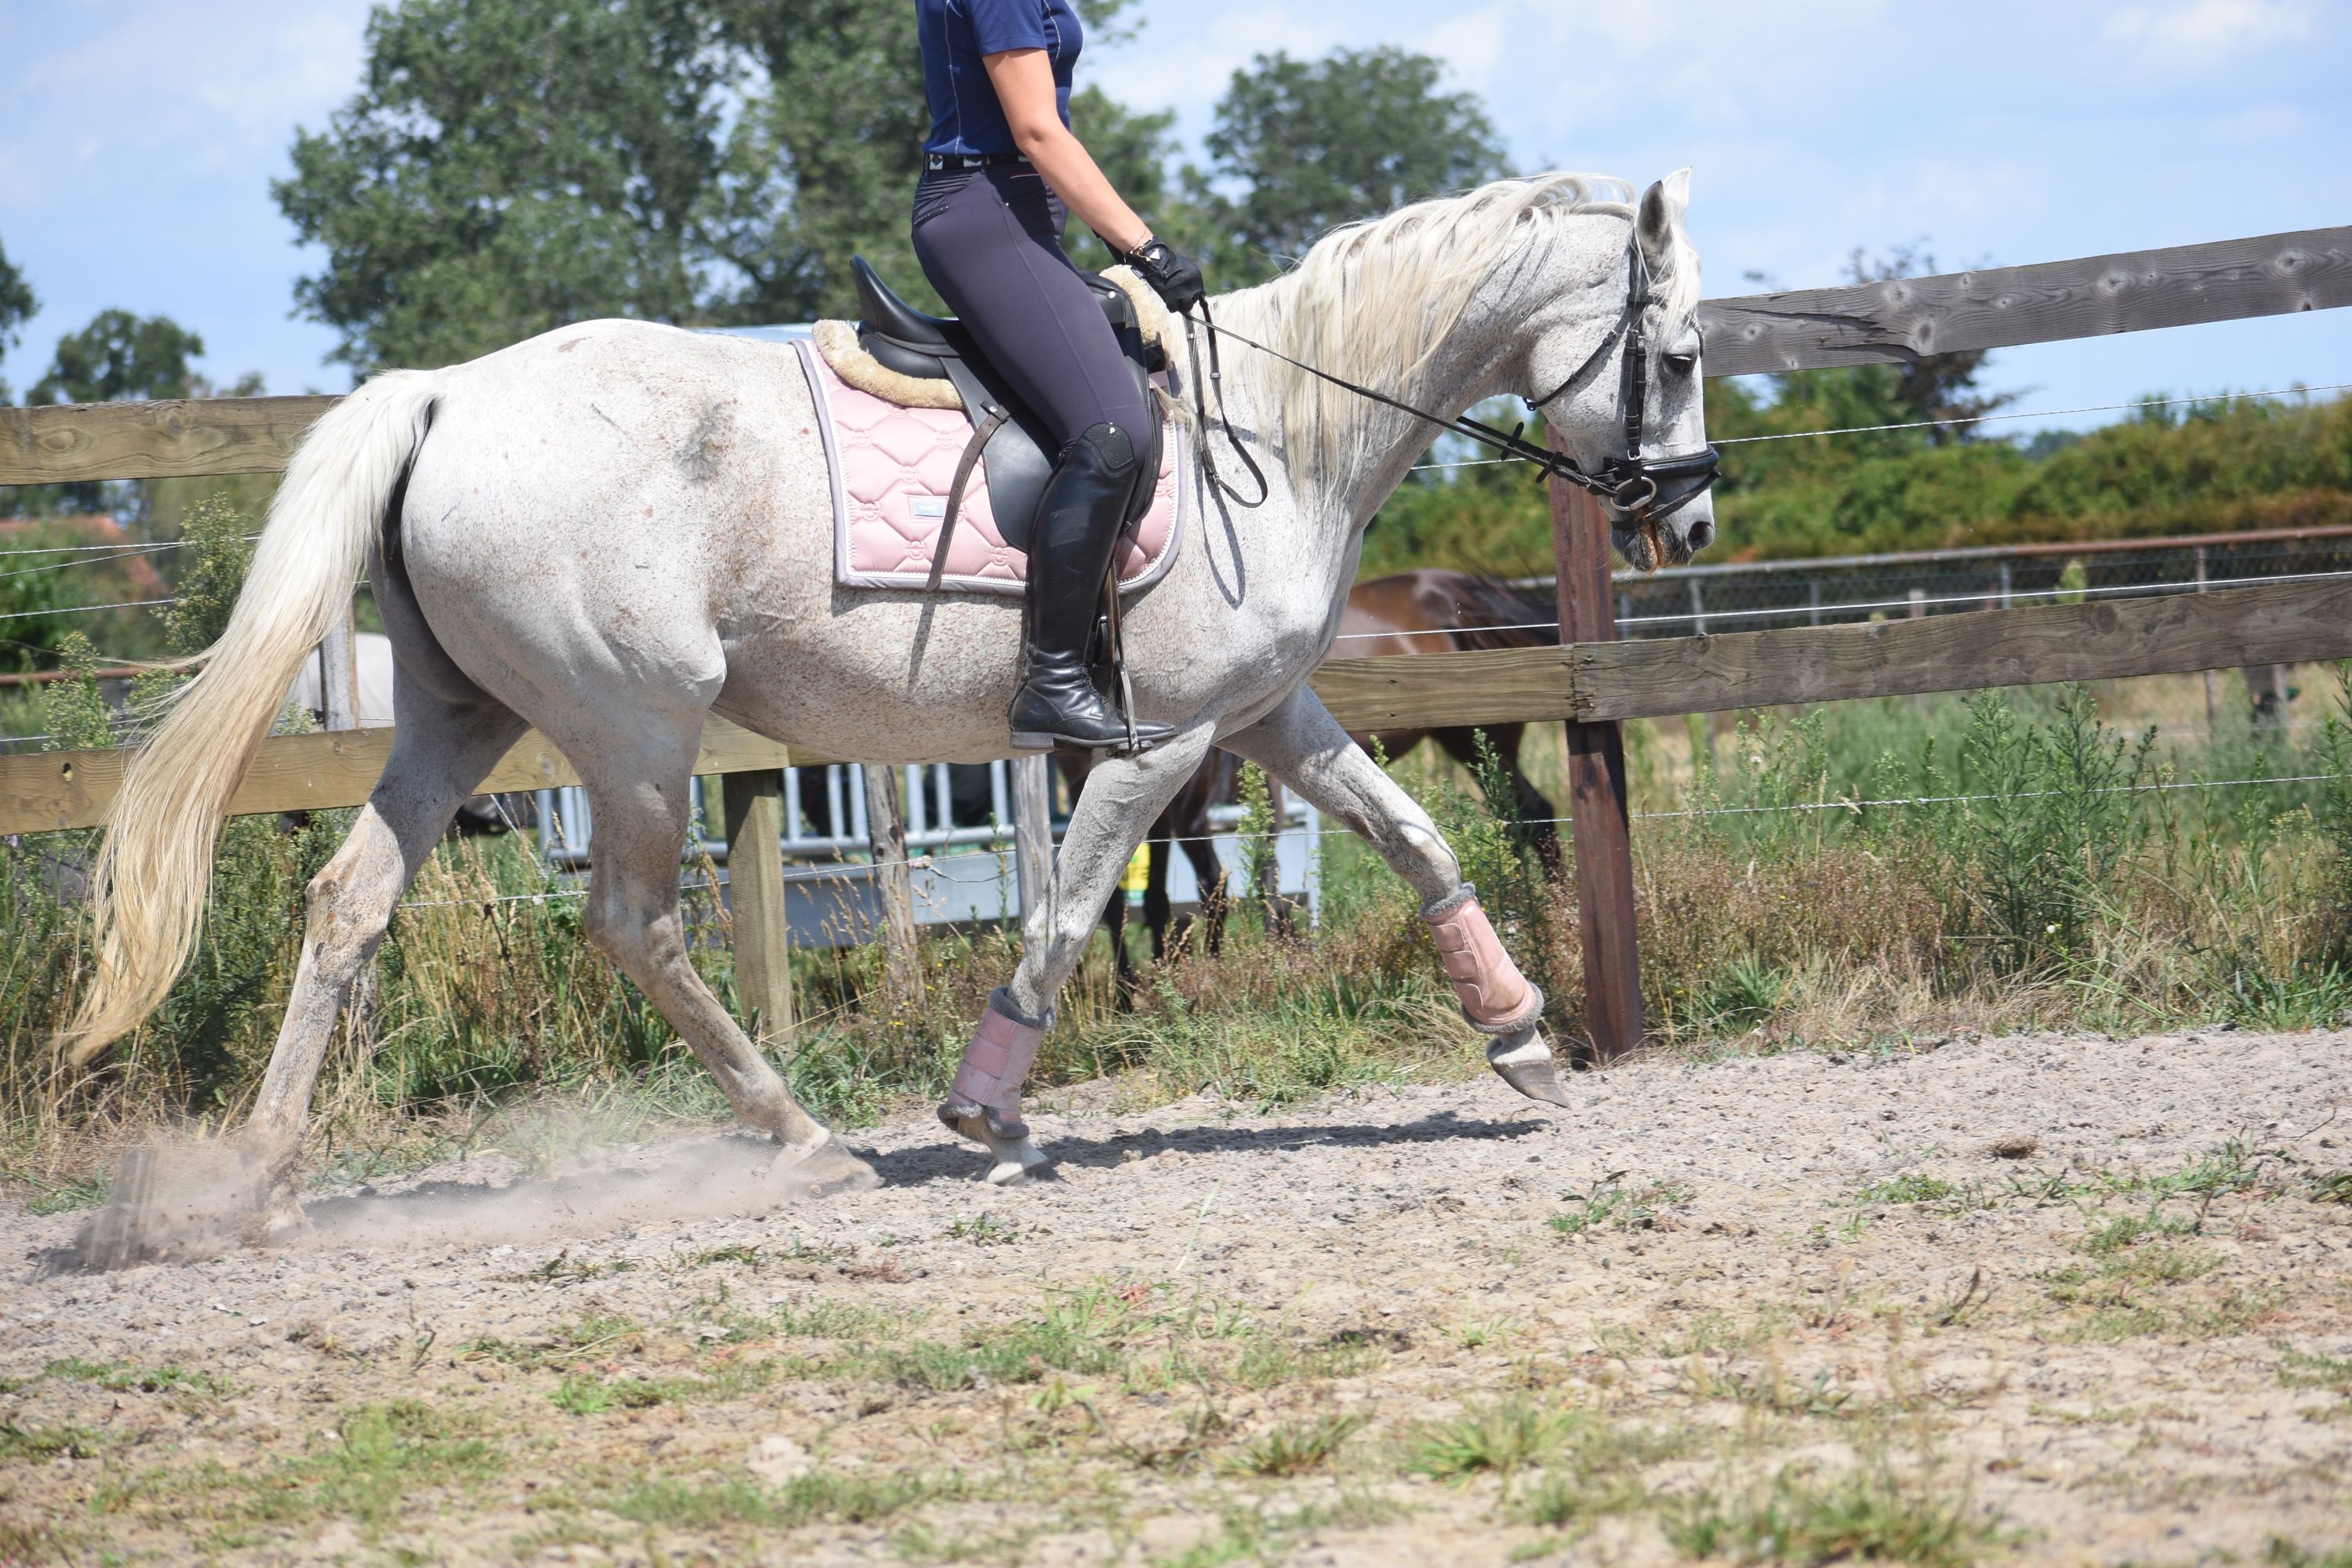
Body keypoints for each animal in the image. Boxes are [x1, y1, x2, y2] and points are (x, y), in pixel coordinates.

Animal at [64, 170, 1714, 1251]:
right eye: (1683, 354)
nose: (1688, 522)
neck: (1281, 434)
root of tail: (445, 395)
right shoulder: (1165, 739)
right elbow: (1064, 911)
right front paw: (985, 1113)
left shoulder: (1260, 712)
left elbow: (1415, 833)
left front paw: (1517, 1030)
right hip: (636, 730)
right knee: (635, 923)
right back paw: (797, 1137)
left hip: (455, 716)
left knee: (350, 901)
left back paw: (269, 1180)